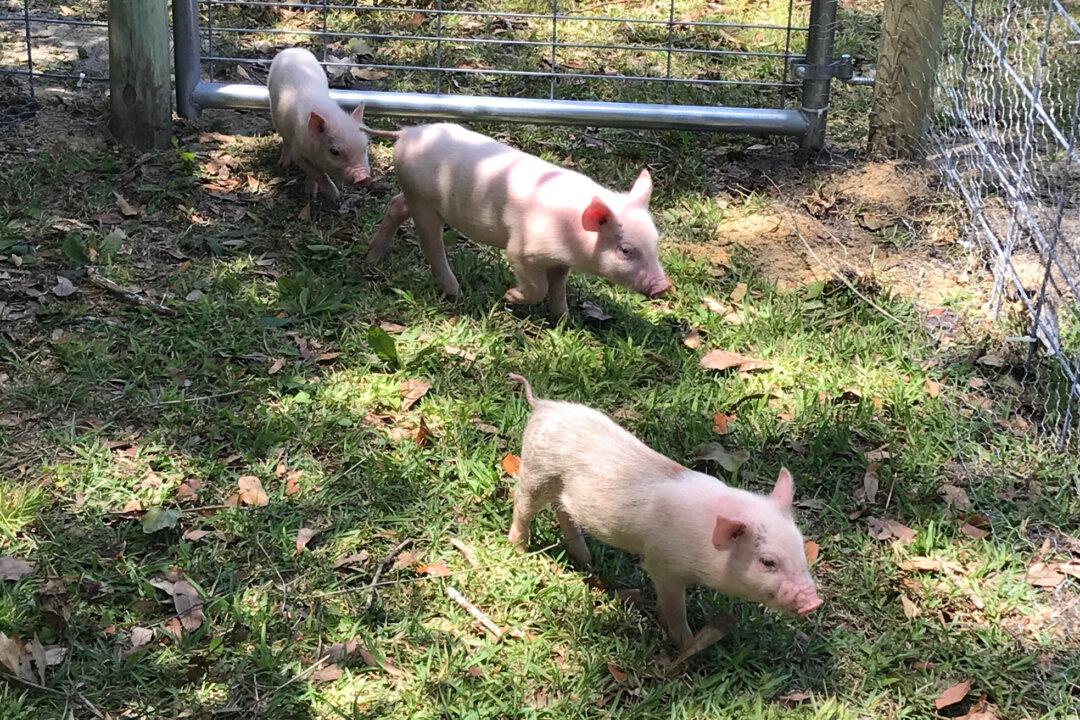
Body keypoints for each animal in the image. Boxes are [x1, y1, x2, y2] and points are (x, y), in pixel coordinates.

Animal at [267, 47, 372, 202]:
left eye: (365, 147)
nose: (363, 178)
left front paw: (312, 193)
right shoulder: (299, 151)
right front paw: (334, 196)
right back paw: (283, 165)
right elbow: (317, 172)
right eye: (334, 151)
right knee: (285, 141)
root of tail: (292, 49)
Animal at [364, 123, 671, 318]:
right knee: (431, 243)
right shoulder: (522, 251)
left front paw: (563, 319)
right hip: (424, 202)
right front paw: (509, 296)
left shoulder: (560, 261)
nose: (664, 286)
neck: (570, 236)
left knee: (396, 206)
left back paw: (373, 258)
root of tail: (406, 133)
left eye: (655, 243)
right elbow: (539, 287)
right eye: (626, 250)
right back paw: (456, 292)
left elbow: (558, 286)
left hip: (414, 196)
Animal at [505, 373, 821, 651]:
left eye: (801, 549)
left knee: (564, 513)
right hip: (537, 471)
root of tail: (543, 405)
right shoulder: (661, 563)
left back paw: (587, 562)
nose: (814, 602)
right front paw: (687, 644)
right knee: (523, 505)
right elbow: (674, 607)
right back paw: (519, 549)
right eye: (767, 562)